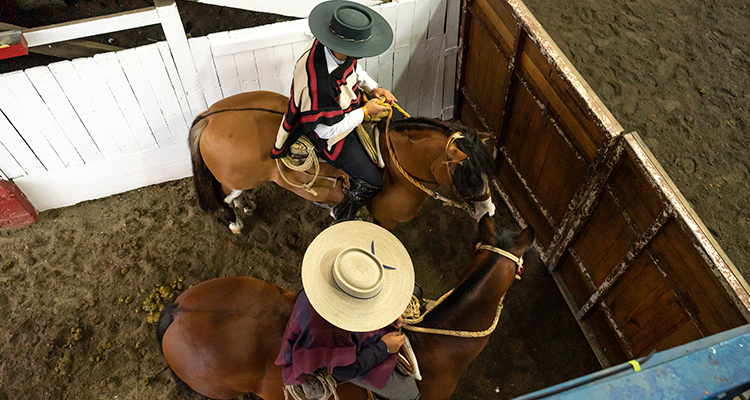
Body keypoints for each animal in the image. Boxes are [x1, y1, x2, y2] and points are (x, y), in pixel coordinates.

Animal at [187, 90, 496, 231]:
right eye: (466, 176)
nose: (488, 211)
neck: (396, 169)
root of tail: (209, 117)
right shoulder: (385, 222)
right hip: (232, 180)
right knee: (223, 198)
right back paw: (235, 222)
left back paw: (246, 206)